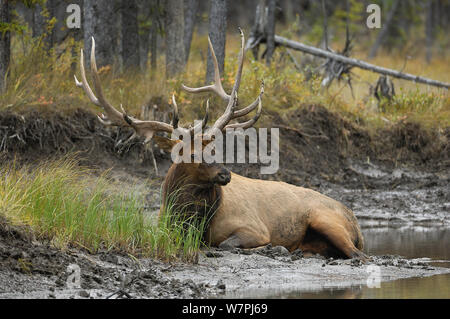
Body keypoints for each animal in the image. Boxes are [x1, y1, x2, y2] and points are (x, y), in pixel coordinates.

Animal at [75, 29, 368, 260]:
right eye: (191, 154)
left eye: (214, 149)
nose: (225, 174)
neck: (192, 220)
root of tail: (355, 222)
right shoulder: (161, 225)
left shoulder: (254, 228)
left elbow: (227, 244)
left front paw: (270, 248)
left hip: (326, 219)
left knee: (358, 254)